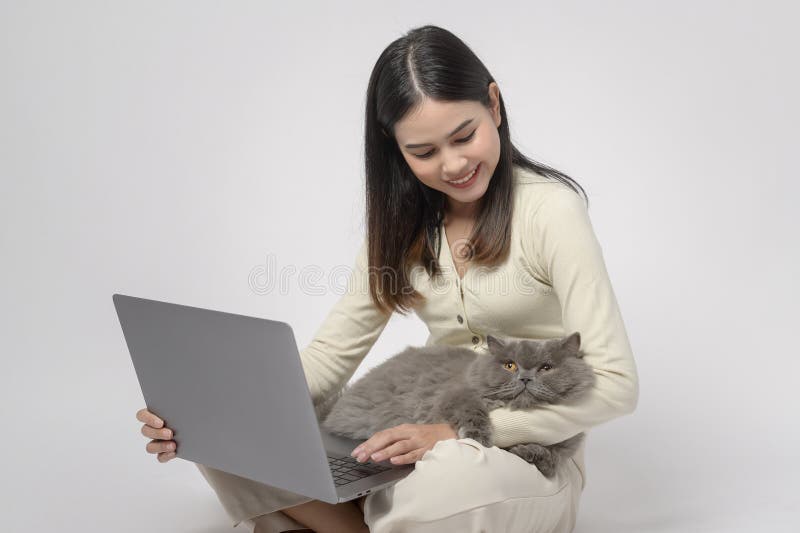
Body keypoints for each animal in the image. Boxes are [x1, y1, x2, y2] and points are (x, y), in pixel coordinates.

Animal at [318, 330, 592, 476]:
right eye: (509, 365)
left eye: (546, 368)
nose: (525, 378)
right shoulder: (453, 395)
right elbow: (471, 409)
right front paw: (479, 436)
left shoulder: (567, 439)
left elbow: (552, 457)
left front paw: (531, 453)